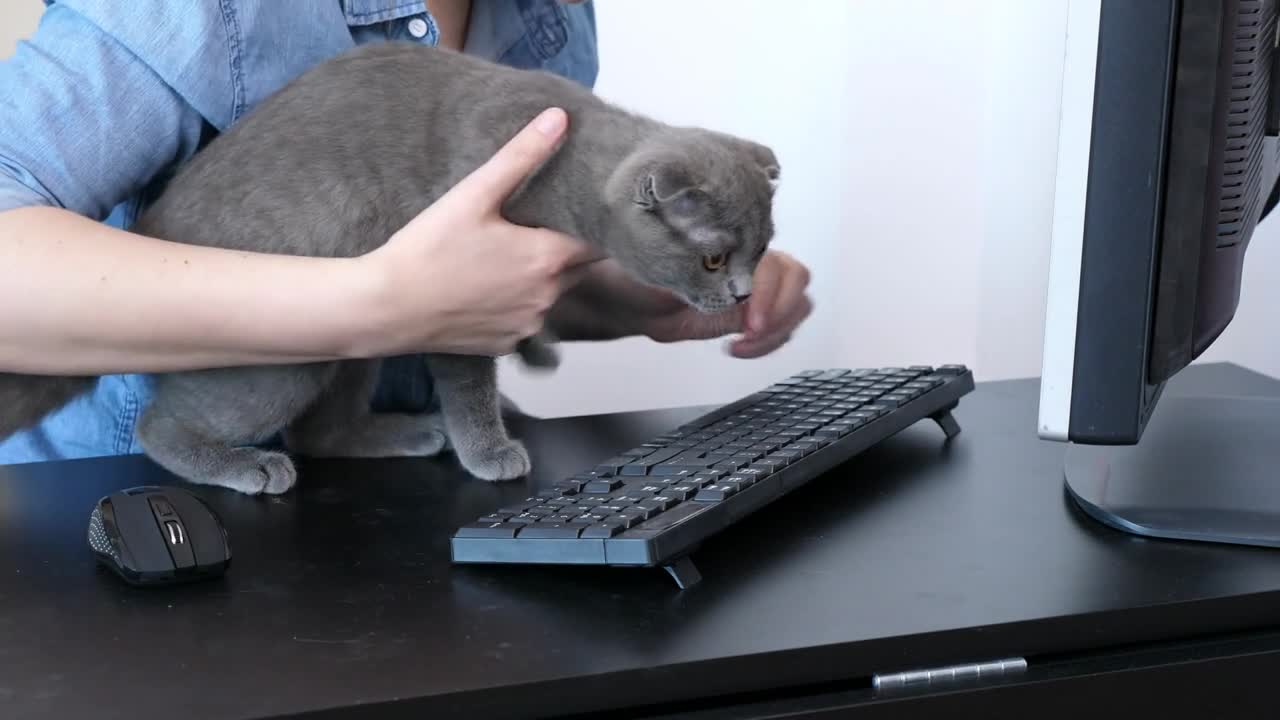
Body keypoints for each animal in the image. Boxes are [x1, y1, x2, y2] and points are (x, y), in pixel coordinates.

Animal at [0, 43, 778, 491]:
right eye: (712, 258)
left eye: (761, 249)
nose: (744, 291)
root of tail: (148, 226)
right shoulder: (469, 285)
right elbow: (468, 381)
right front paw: (489, 450)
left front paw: (537, 348)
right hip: (288, 356)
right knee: (160, 429)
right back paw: (245, 465)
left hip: (360, 334)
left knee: (320, 432)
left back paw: (401, 435)